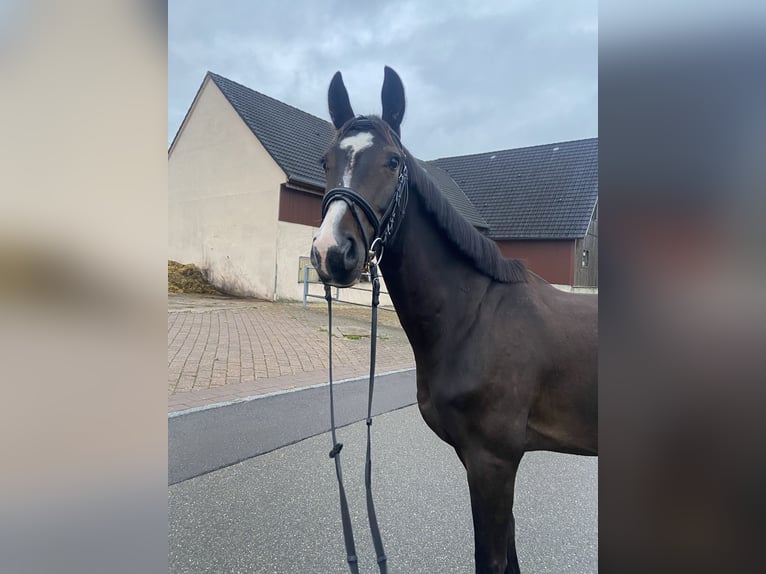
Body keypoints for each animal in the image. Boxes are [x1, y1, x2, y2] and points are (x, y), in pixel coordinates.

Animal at [310, 66, 597, 574]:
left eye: (392, 161)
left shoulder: (493, 463)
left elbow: (492, 560)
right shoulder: (480, 462)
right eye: (326, 160)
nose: (332, 253)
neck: (475, 319)